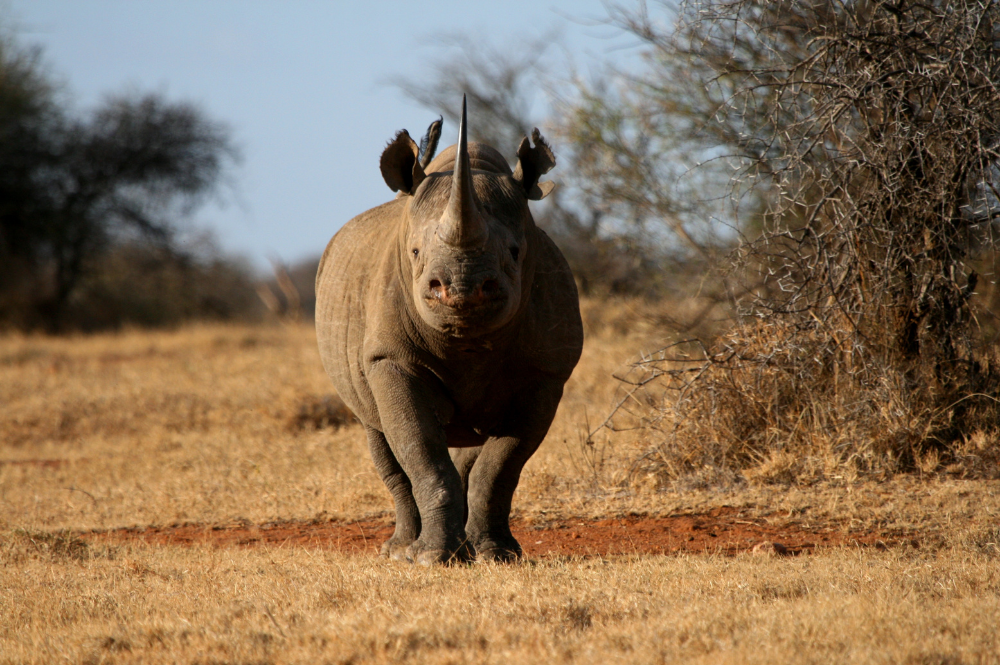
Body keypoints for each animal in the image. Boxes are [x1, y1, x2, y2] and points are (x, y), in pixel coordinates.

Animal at [312, 98, 580, 564]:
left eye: (516, 252)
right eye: (415, 252)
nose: (461, 288)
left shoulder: (546, 373)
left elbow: (500, 466)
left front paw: (499, 555)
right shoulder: (390, 359)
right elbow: (421, 453)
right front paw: (432, 558)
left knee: (472, 448)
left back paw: (468, 546)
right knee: (379, 435)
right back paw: (399, 550)